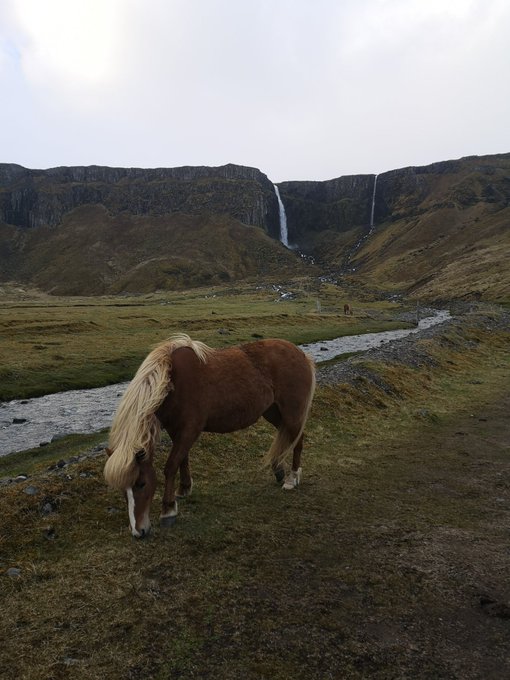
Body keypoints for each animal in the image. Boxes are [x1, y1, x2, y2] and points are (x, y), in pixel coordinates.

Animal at [104, 334, 316, 538]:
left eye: (141, 484)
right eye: (123, 490)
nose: (138, 532)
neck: (173, 382)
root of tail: (301, 354)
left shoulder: (190, 430)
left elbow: (171, 466)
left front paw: (168, 510)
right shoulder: (177, 430)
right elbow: (183, 460)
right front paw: (184, 489)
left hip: (291, 414)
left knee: (297, 440)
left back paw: (292, 479)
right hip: (273, 412)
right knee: (288, 438)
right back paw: (278, 469)